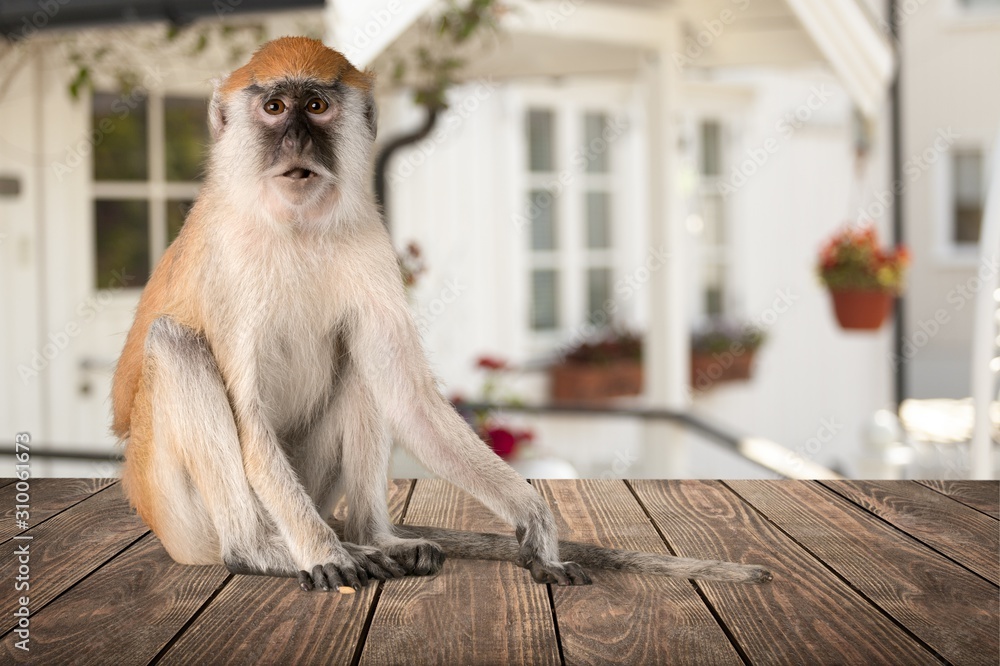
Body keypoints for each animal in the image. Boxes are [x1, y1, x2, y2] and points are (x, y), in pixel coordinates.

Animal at [109, 35, 768, 592]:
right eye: (273, 107)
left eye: (317, 105)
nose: (296, 141)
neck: (295, 225)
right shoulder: (230, 263)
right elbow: (247, 416)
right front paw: (323, 554)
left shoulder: (370, 242)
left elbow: (410, 399)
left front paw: (535, 523)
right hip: (181, 511)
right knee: (175, 344)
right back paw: (262, 551)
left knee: (362, 366)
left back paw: (375, 538)